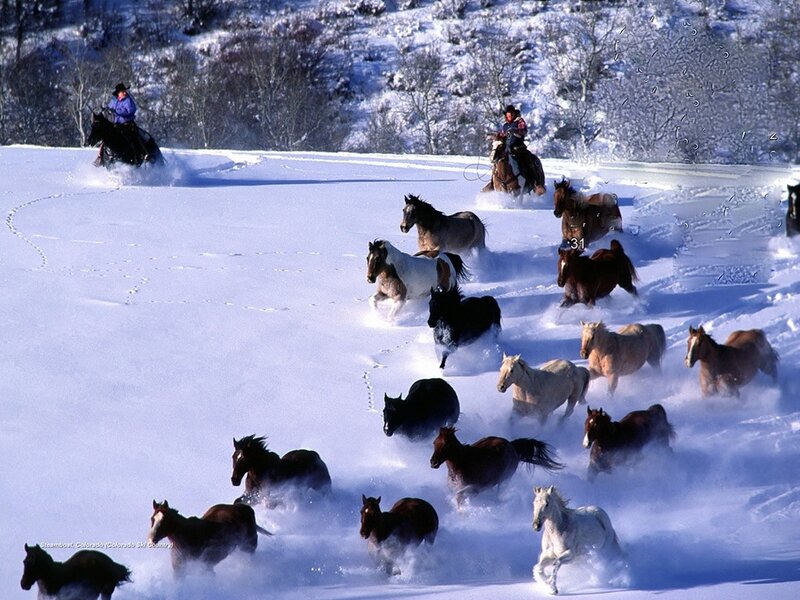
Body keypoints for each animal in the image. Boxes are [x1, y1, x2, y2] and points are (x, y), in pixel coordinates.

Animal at [430, 426, 563, 506]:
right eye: (435, 442)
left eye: (446, 444)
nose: (433, 462)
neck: (463, 463)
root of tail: (512, 446)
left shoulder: (473, 489)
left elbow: (460, 498)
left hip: (505, 479)